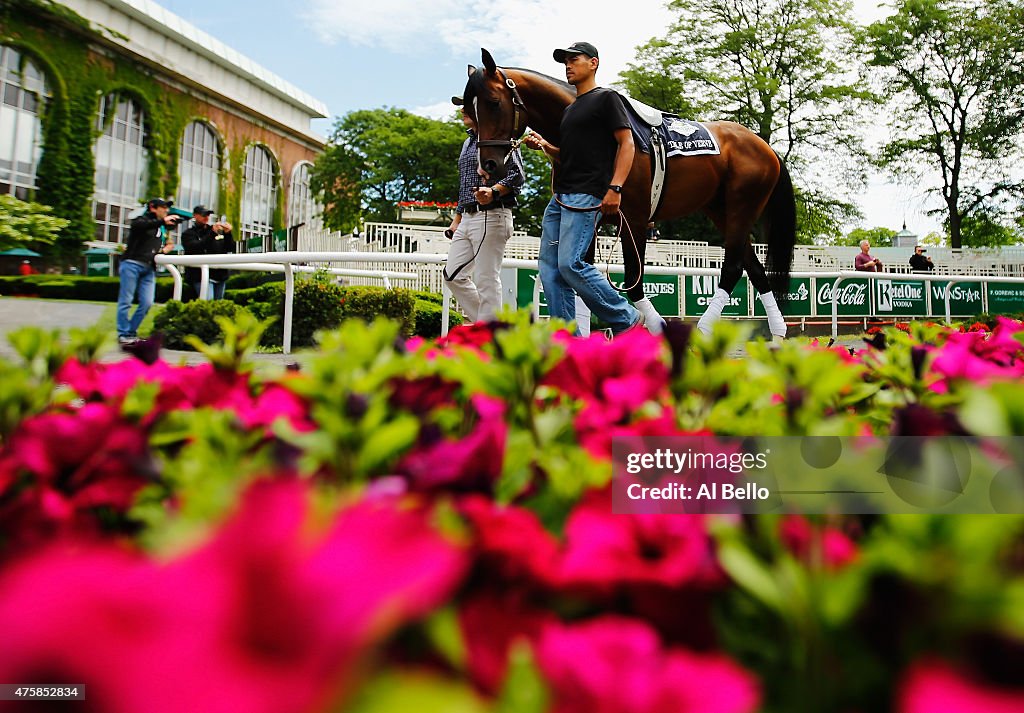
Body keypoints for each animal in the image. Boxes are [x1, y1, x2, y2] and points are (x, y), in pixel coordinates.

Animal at [464, 48, 798, 338]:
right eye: (469, 109)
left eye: (493, 102)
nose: (487, 165)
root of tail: (765, 147)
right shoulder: (587, 220)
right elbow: (581, 280)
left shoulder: (634, 220)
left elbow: (633, 282)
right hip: (720, 210)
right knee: (754, 267)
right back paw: (777, 334)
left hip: (743, 205)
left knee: (732, 267)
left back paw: (703, 332)